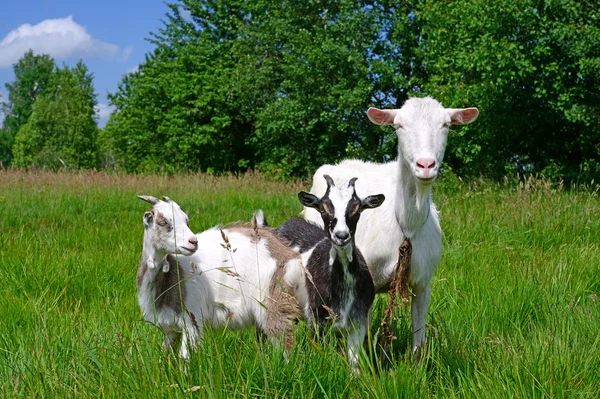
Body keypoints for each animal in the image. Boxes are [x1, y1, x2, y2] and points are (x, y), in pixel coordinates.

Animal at [138, 195, 302, 358]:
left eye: (186, 220)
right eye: (163, 222)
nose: (193, 241)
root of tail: (288, 253)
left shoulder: (192, 320)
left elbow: (184, 356)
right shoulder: (170, 327)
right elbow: (167, 353)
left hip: (273, 298)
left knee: (284, 340)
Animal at [276, 175, 384, 366]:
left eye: (357, 208)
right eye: (323, 207)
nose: (341, 236)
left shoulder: (358, 321)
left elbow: (355, 360)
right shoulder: (317, 319)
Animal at [302, 97, 480, 360]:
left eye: (446, 124)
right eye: (399, 126)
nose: (425, 165)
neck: (406, 226)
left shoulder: (423, 283)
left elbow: (418, 338)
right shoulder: (365, 282)